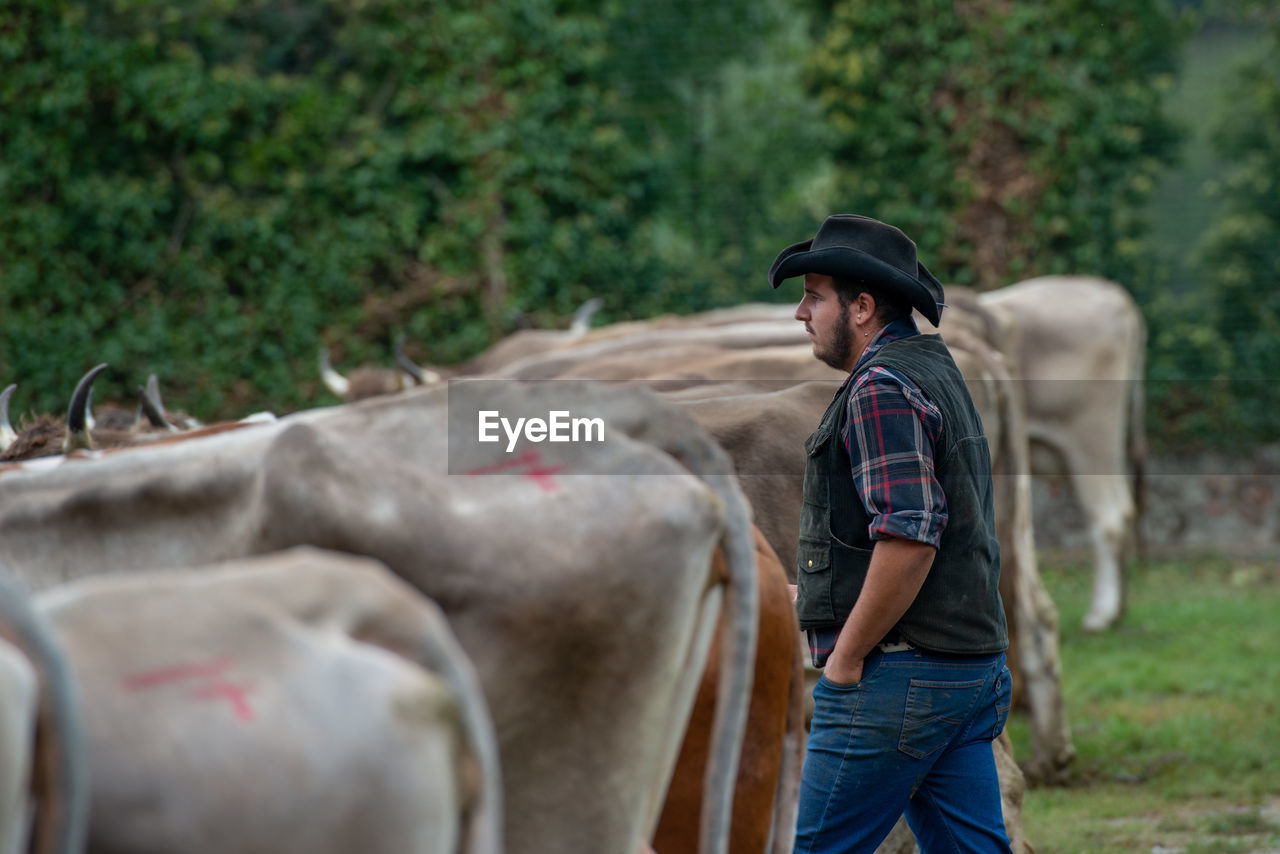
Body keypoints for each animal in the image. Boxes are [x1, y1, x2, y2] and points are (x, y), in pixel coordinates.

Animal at [972, 277, 1146, 632]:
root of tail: (1111, 293)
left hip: (1090, 438)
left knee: (1109, 517)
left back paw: (1100, 614)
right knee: (1124, 510)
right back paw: (1117, 609)